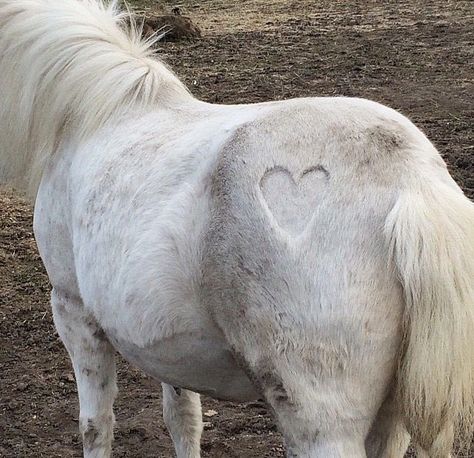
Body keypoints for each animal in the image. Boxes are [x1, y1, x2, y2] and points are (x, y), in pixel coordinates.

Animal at [0, 0, 474, 458]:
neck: (98, 115)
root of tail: (409, 179)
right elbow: (183, 417)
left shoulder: (73, 310)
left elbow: (95, 426)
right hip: (391, 417)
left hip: (322, 421)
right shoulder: (168, 343)